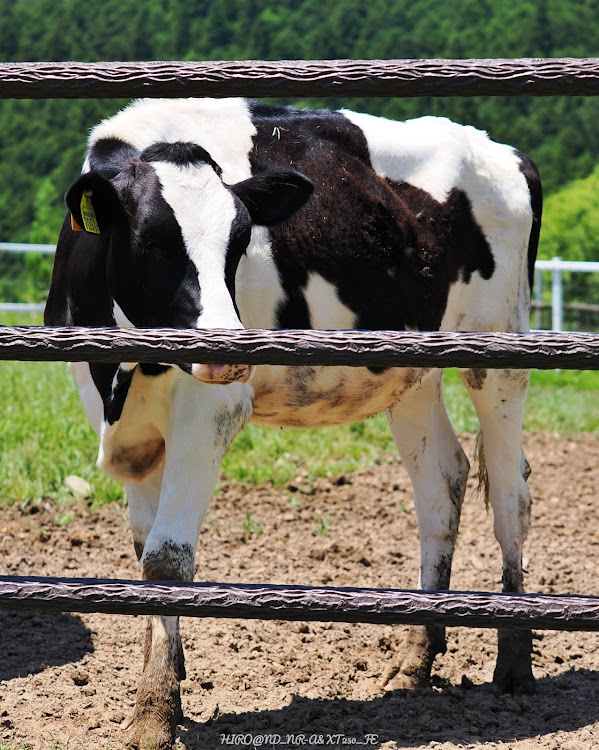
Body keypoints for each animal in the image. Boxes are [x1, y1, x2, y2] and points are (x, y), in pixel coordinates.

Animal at [45, 97, 544, 748]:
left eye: (240, 243)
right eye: (152, 241)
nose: (227, 350)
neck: (124, 371)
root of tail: (503, 152)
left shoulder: (211, 407)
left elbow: (167, 556)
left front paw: (153, 714)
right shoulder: (115, 413)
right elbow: (143, 548)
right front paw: (167, 675)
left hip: (499, 350)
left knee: (510, 495)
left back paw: (514, 665)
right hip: (412, 370)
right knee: (443, 483)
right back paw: (414, 661)